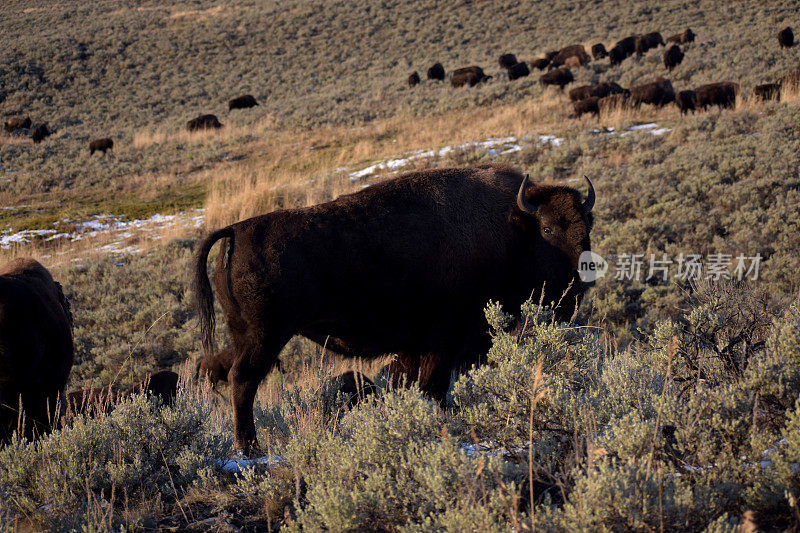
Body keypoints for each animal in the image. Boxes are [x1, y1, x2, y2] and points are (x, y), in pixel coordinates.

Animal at [194, 163, 592, 454]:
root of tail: (236, 230)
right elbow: (433, 386)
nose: (581, 281)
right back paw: (250, 449)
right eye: (547, 229)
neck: (511, 226)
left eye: (587, 226)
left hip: (245, 334)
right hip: (266, 336)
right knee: (244, 380)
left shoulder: (424, 346)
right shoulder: (447, 339)